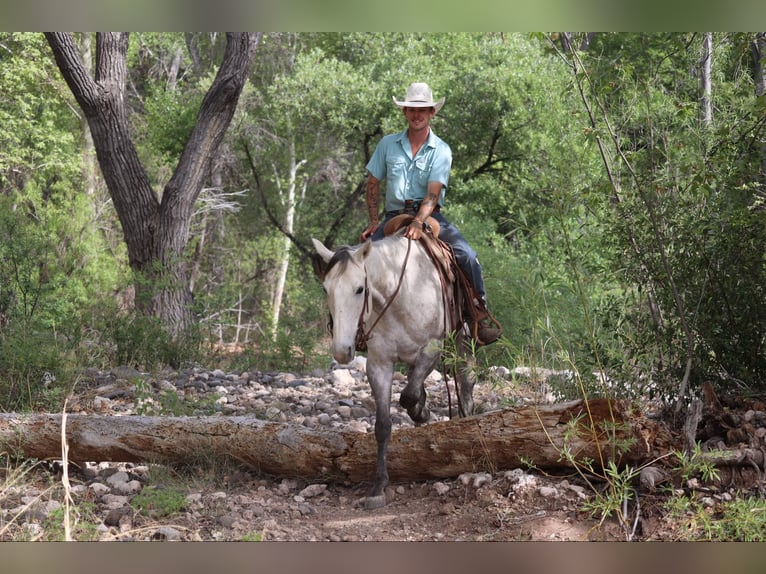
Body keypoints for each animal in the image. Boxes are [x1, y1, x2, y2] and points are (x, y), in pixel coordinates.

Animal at [312, 232, 477, 509]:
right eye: (326, 289)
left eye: (359, 289)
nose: (342, 351)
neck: (400, 296)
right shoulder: (379, 364)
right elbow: (383, 425)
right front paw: (379, 485)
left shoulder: (432, 348)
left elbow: (408, 396)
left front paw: (422, 412)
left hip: (461, 337)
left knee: (465, 380)